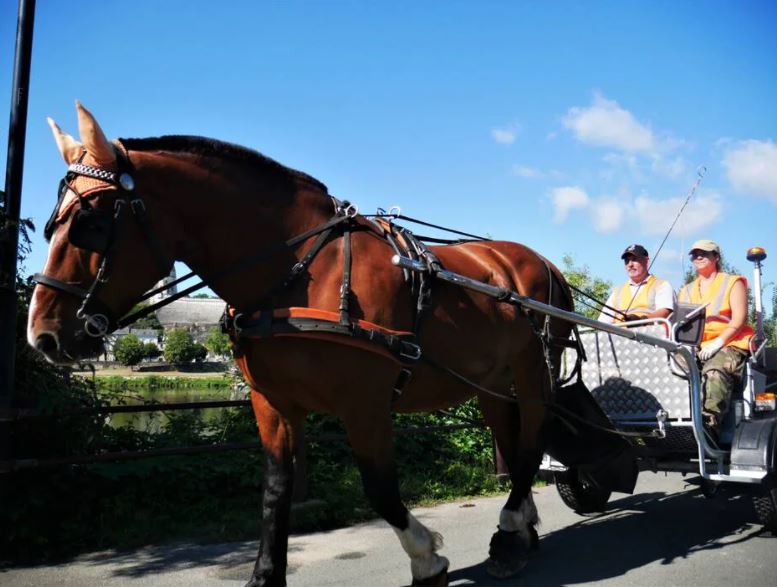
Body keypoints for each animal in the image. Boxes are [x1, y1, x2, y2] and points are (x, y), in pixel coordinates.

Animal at [28, 102, 576, 587]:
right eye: (54, 223)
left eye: (92, 223)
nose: (43, 335)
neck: (300, 273)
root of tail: (539, 262)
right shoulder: (273, 403)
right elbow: (275, 491)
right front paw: (264, 576)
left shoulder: (364, 405)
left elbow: (381, 489)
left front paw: (426, 559)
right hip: (489, 381)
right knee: (512, 438)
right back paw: (520, 529)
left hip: (533, 370)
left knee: (532, 440)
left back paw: (511, 527)